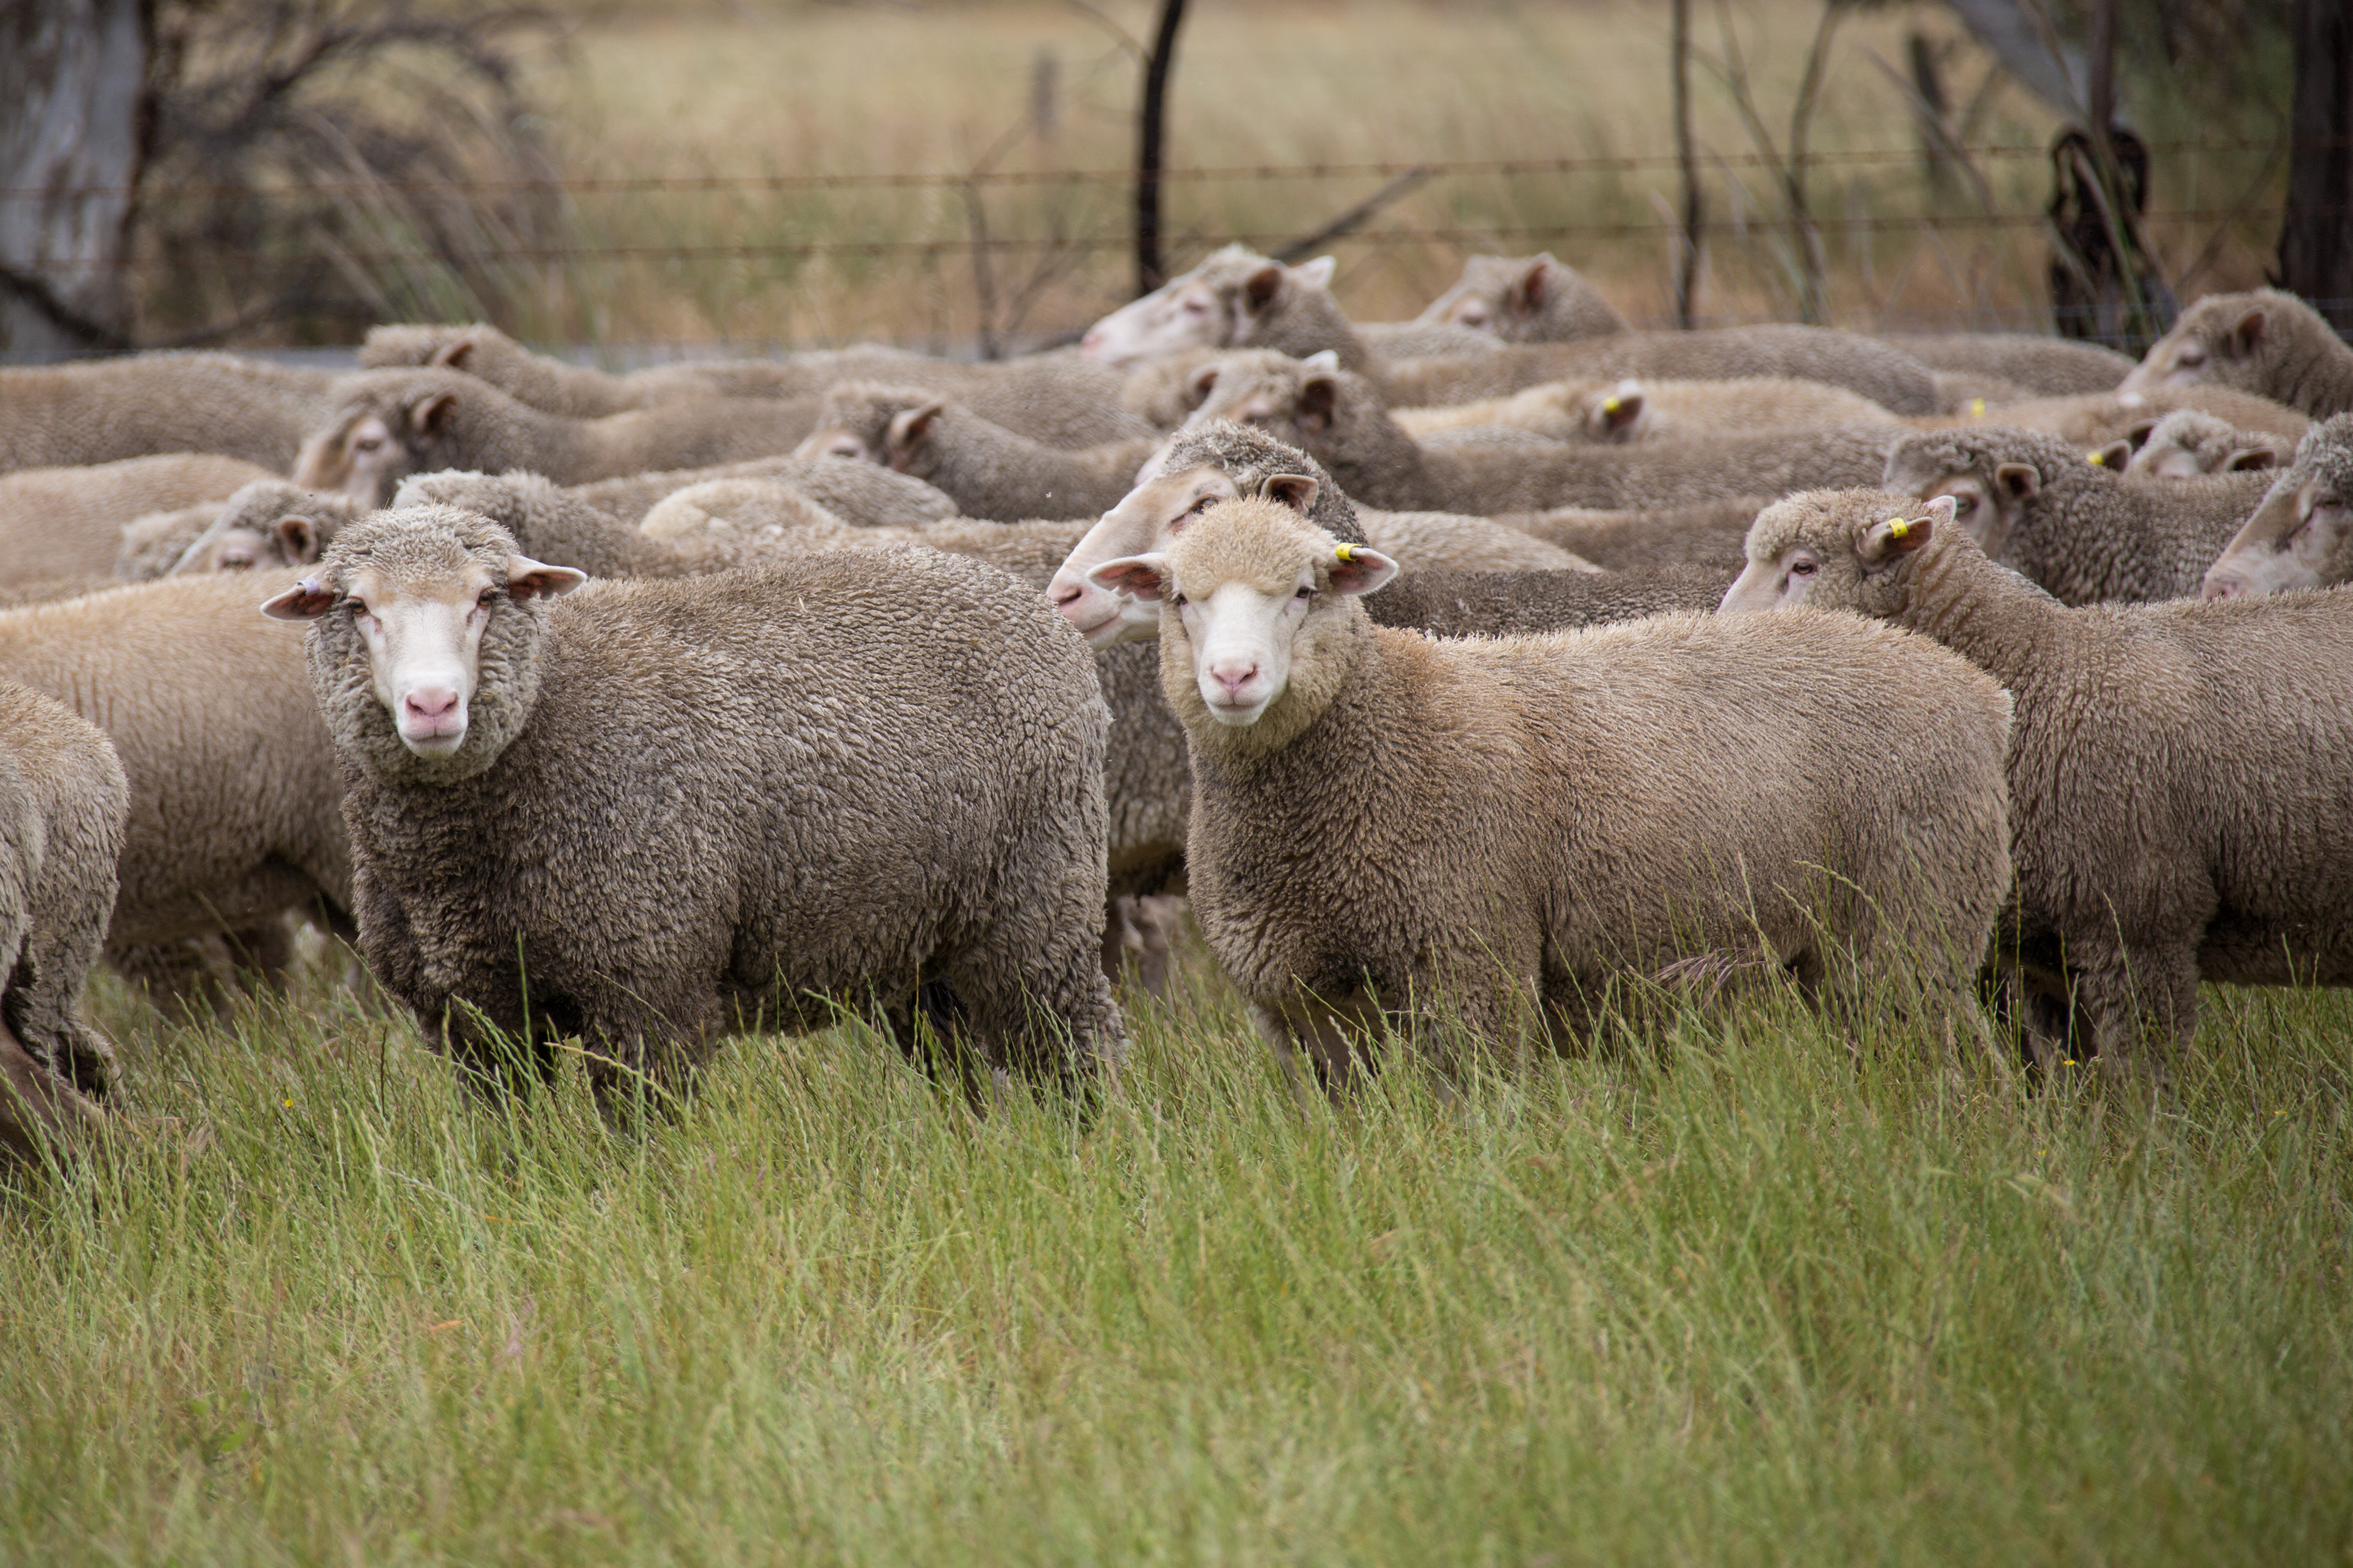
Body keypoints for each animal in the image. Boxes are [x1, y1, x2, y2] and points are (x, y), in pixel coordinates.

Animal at [264, 506, 1127, 1102]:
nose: (434, 705)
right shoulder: (477, 1020)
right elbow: (508, 1156)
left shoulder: (648, 984)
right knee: (961, 1067)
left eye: (486, 598)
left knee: (1077, 1051)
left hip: (1039, 905)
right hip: (915, 941)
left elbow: (641, 1147)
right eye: (356, 608)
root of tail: (1031, 604)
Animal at [1083, 495, 2012, 1085]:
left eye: (1306, 591)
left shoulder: (1473, 966)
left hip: (1915, 922)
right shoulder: (1301, 1012)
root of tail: (1978, 692)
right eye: (1179, 598)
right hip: (1839, 953)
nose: (1233, 677)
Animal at [1724, 487, 2353, 1081]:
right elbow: (2064, 1081)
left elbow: (2139, 1078)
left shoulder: (2141, 923)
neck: (2036, 671)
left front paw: (2147, 1128)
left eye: (1802, 566)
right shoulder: (2042, 953)